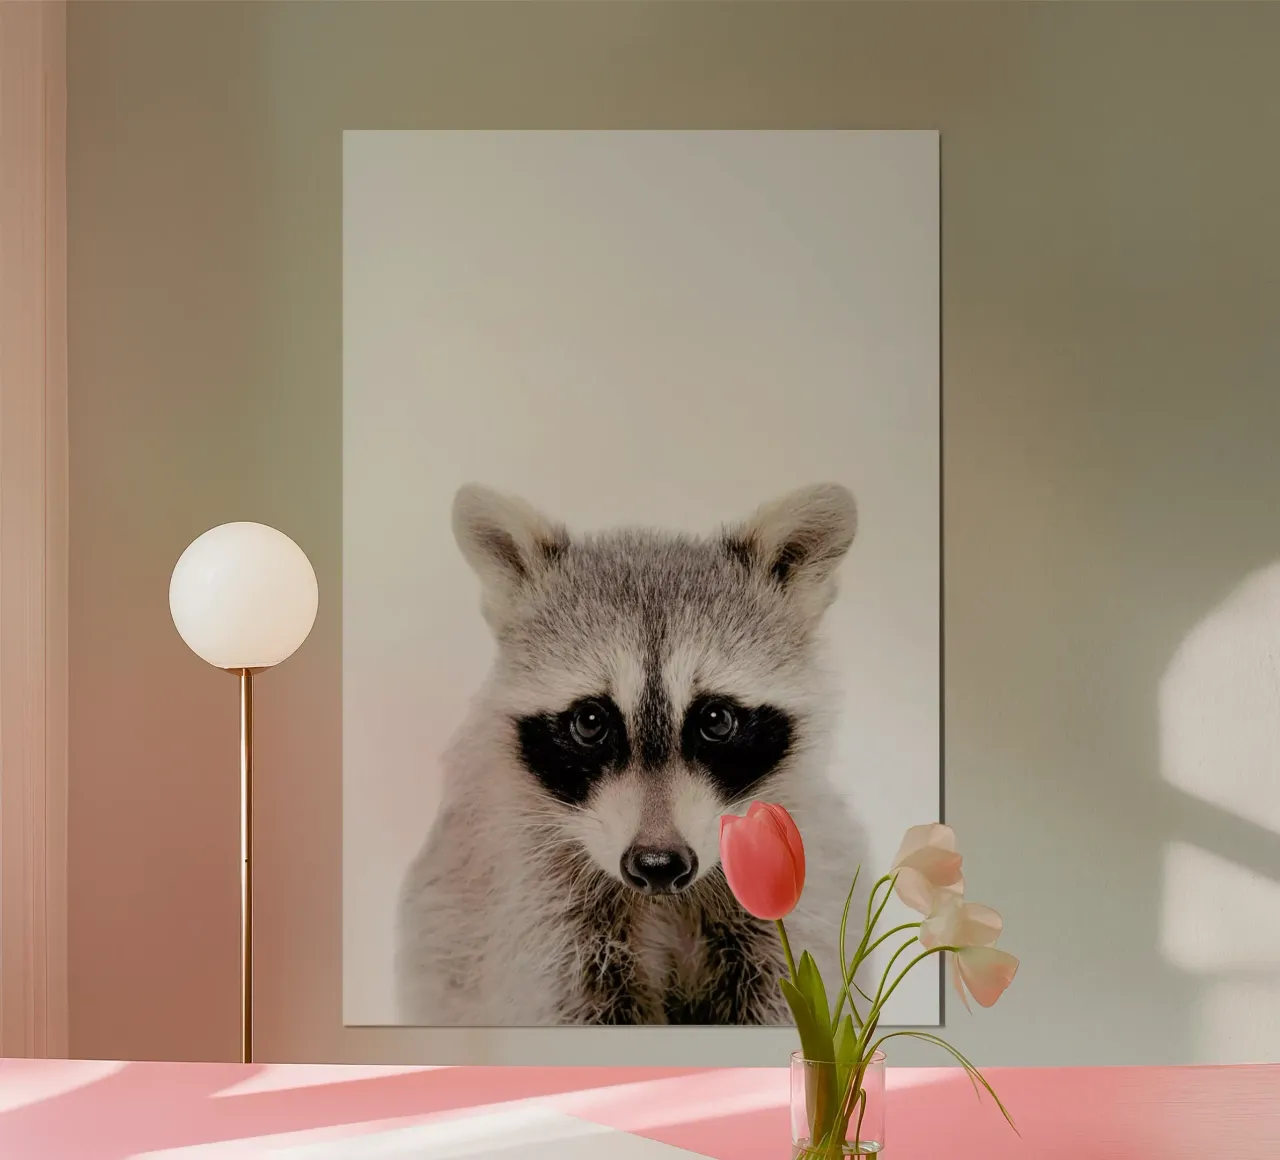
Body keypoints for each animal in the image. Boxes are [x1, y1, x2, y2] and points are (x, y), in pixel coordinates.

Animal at [394, 482, 869, 1026]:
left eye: (716, 721)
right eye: (590, 722)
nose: (658, 864)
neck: (664, 902)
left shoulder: (797, 891)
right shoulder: (536, 914)